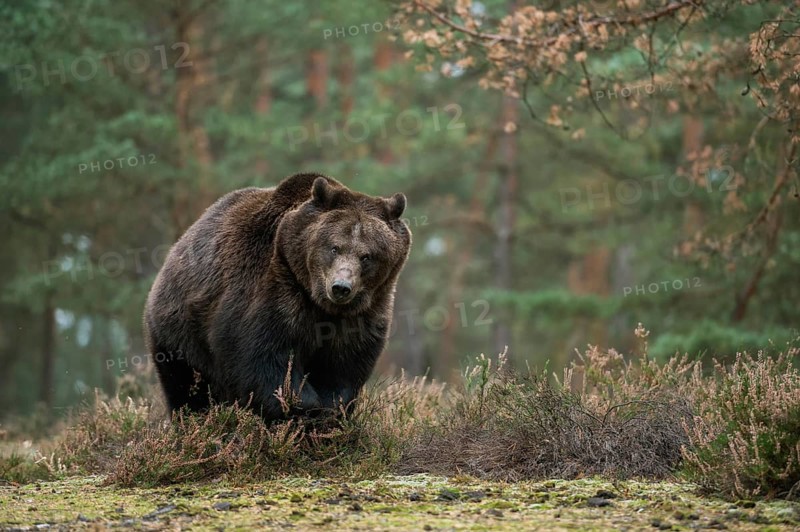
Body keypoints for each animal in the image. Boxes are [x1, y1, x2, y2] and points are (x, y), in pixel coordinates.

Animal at [143, 172, 411, 421]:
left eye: (367, 256)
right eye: (334, 247)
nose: (341, 287)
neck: (319, 302)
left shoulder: (363, 313)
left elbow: (342, 369)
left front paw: (330, 411)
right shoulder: (274, 292)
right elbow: (267, 362)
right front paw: (301, 409)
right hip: (179, 332)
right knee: (188, 386)